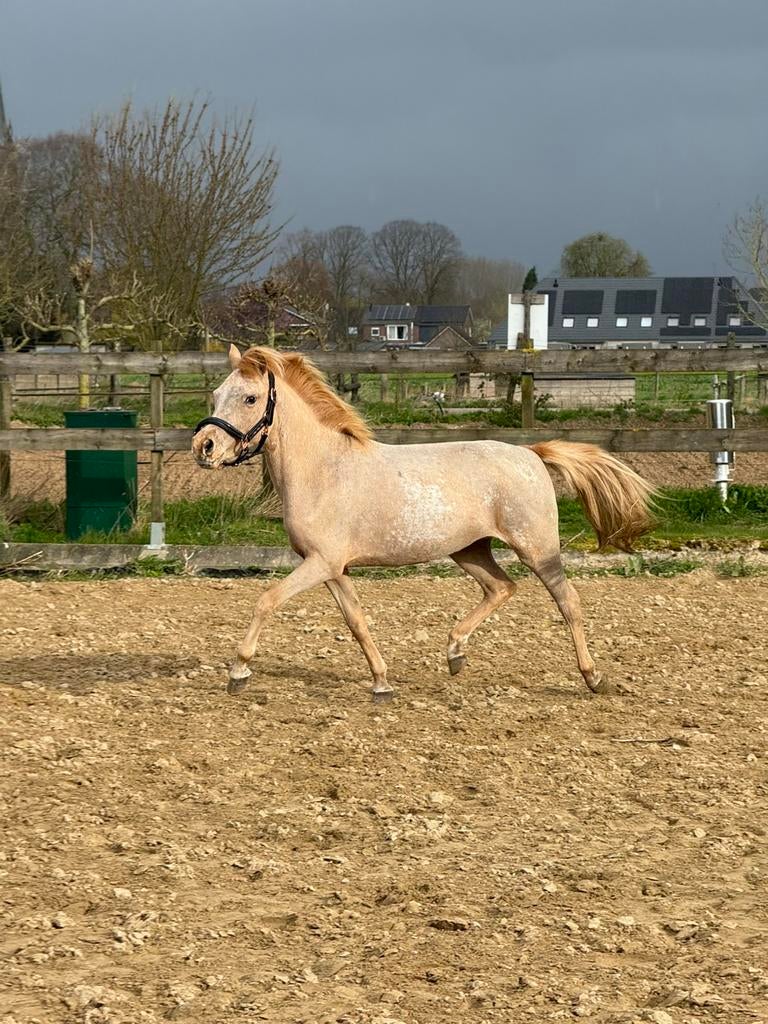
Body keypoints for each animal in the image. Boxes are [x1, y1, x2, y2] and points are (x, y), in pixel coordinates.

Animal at [192, 345, 656, 702]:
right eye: (216, 394)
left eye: (250, 398)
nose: (204, 447)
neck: (325, 470)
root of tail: (532, 454)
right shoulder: (333, 568)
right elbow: (357, 622)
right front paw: (382, 684)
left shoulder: (320, 563)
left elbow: (266, 601)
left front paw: (238, 673)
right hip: (469, 549)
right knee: (501, 588)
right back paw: (454, 654)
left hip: (537, 549)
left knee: (568, 602)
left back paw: (593, 677)